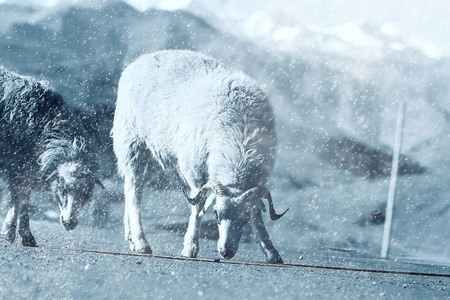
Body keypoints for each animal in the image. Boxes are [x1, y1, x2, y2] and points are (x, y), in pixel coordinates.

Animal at [112, 50, 288, 264]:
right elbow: (198, 205)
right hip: (133, 144)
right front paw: (190, 247)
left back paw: (130, 236)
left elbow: (256, 212)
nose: (226, 252)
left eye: (244, 219)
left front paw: (271, 251)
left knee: (130, 188)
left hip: (154, 156)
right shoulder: (195, 171)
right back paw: (140, 242)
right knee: (134, 193)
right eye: (216, 214)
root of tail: (141, 59)